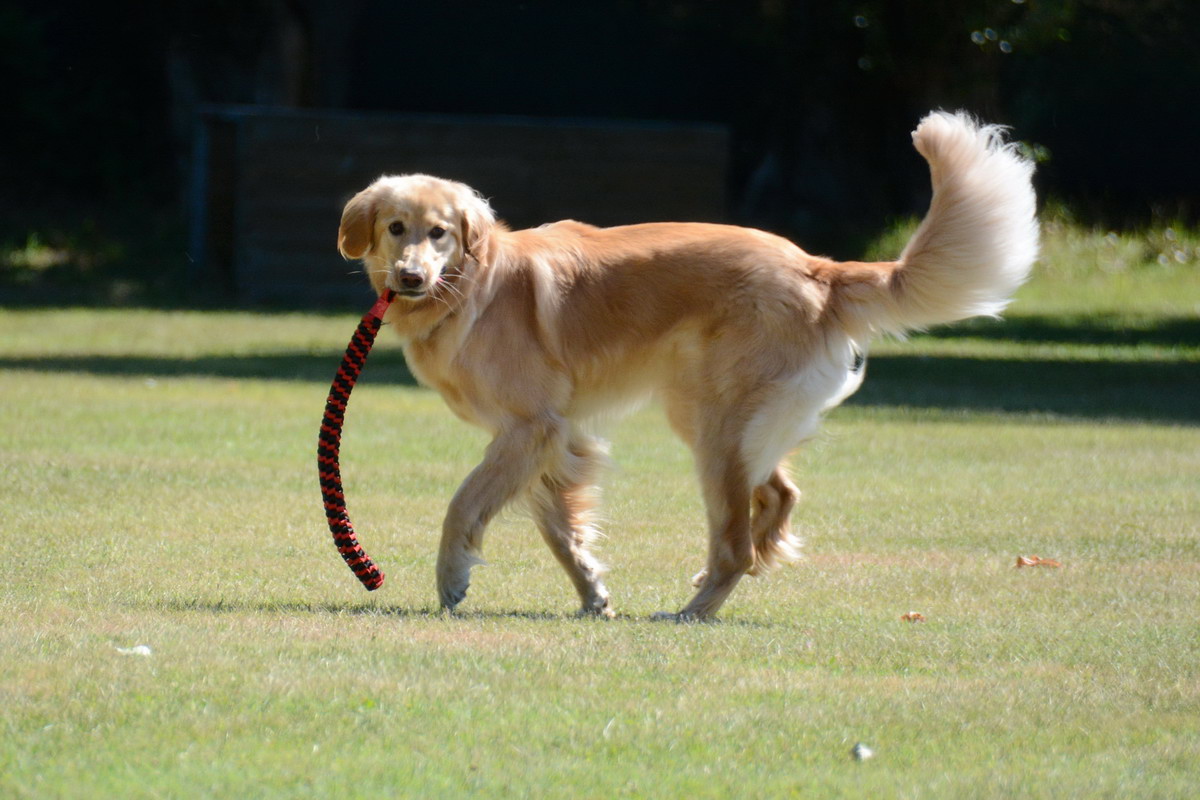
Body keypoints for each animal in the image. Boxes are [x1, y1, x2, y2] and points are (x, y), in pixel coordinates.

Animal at [333, 110, 1036, 618]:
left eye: (440, 233)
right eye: (396, 228)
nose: (410, 277)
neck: (471, 289)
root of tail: (816, 267)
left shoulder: (528, 428)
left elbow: (462, 505)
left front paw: (451, 579)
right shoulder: (555, 439)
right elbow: (563, 532)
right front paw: (592, 594)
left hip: (714, 430)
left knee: (735, 545)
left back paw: (692, 610)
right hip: (716, 419)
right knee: (778, 497)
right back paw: (746, 562)